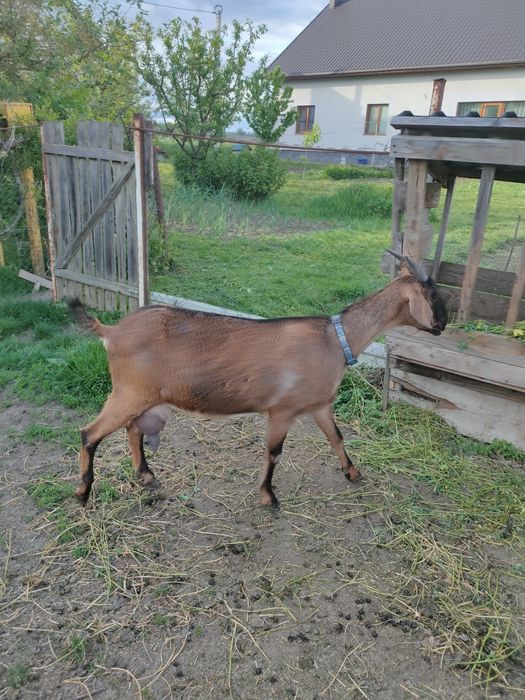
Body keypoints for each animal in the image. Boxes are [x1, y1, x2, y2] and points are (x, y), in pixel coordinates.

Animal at [68, 254, 447, 506]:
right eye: (433, 295)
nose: (444, 324)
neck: (335, 339)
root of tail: (110, 331)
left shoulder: (319, 404)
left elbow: (337, 437)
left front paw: (353, 473)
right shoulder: (282, 410)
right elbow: (274, 451)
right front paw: (268, 496)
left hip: (145, 396)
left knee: (133, 431)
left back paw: (147, 478)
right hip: (129, 392)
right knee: (90, 433)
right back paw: (83, 492)